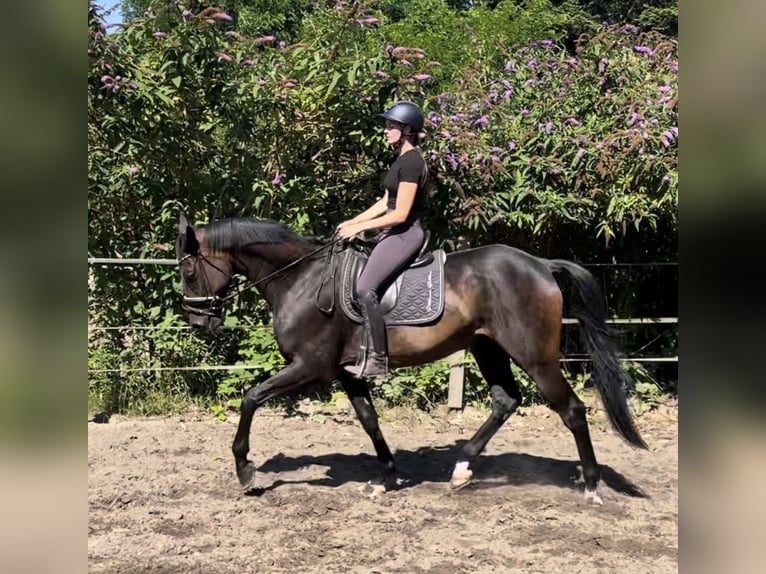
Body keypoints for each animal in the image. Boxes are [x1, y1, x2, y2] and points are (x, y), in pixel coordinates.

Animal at [178, 214, 648, 506]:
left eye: (187, 271)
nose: (199, 322)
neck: (301, 280)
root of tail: (541, 265)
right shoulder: (348, 373)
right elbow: (369, 420)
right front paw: (388, 477)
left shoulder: (309, 367)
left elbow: (251, 398)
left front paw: (245, 469)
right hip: (487, 347)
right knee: (505, 401)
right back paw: (461, 468)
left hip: (535, 356)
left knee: (572, 410)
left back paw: (591, 486)